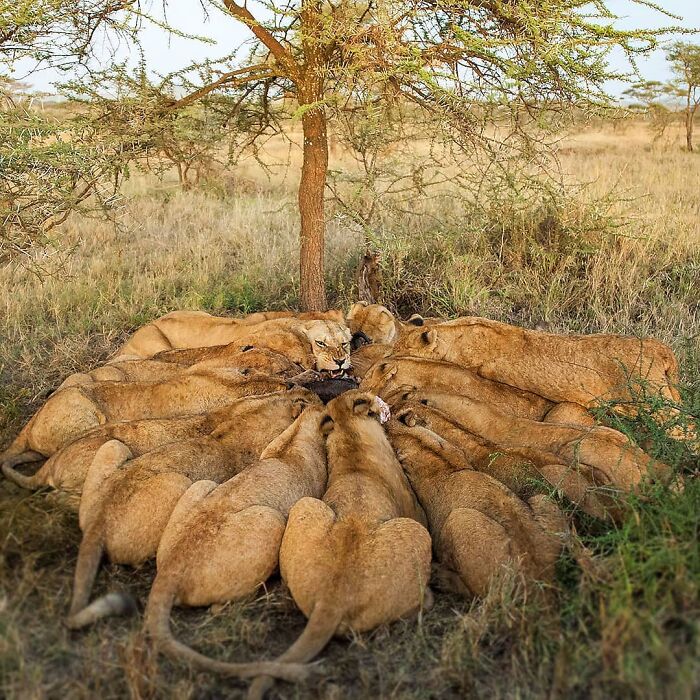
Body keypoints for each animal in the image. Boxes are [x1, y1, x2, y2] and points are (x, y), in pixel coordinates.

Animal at [386, 416, 566, 598]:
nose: (387, 422)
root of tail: (541, 577)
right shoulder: (452, 450)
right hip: (543, 499)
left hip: (460, 520)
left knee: (478, 592)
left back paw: (440, 577)